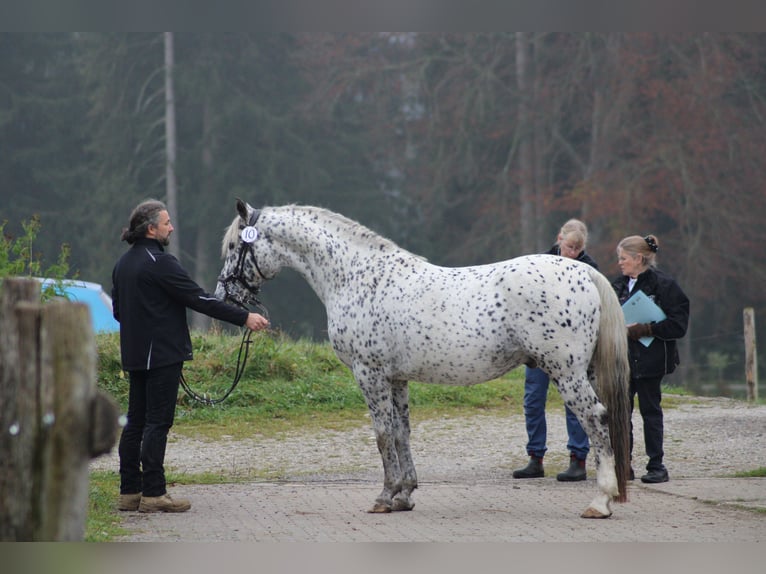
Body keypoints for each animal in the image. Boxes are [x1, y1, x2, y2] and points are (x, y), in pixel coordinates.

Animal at [214, 200, 632, 520]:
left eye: (235, 246)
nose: (223, 296)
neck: (357, 277)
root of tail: (585, 273)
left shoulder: (370, 374)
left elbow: (382, 435)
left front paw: (384, 498)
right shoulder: (397, 378)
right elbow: (402, 433)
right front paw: (404, 495)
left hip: (567, 373)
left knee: (596, 420)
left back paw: (601, 501)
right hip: (582, 371)